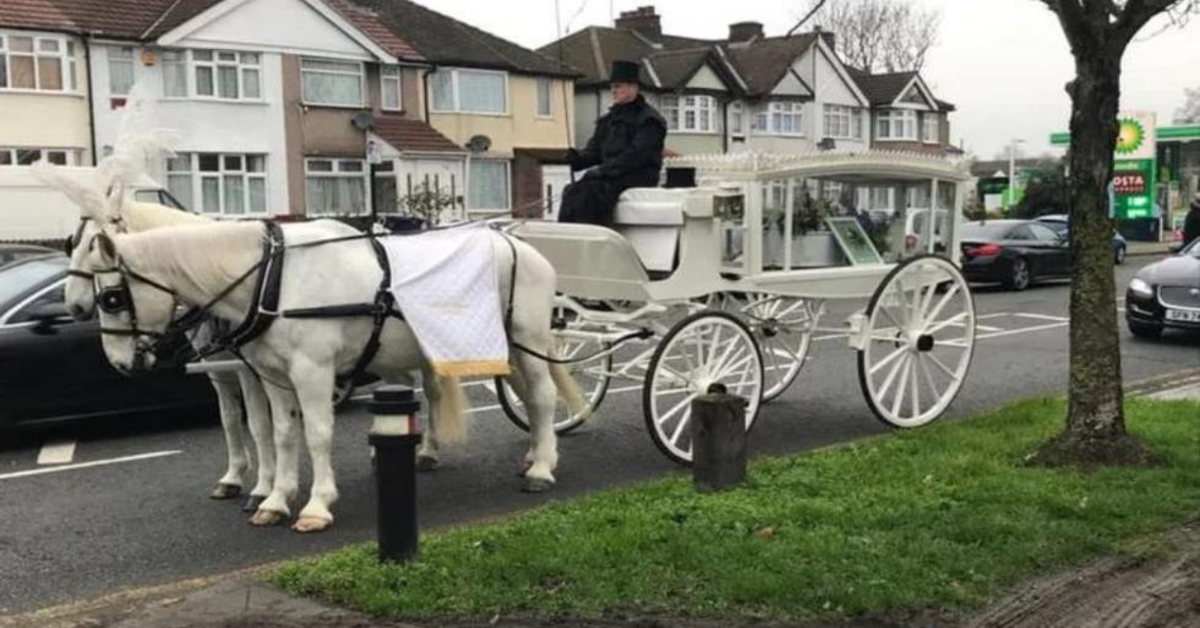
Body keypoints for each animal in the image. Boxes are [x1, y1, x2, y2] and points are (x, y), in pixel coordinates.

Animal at [77, 190, 583, 530]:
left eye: (112, 297)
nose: (120, 364)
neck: (272, 277)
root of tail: (523, 246)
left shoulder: (311, 371)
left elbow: (317, 434)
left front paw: (317, 504)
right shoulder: (273, 376)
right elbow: (281, 434)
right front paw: (275, 499)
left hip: (526, 337)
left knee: (541, 397)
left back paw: (542, 467)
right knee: (509, 396)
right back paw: (517, 454)